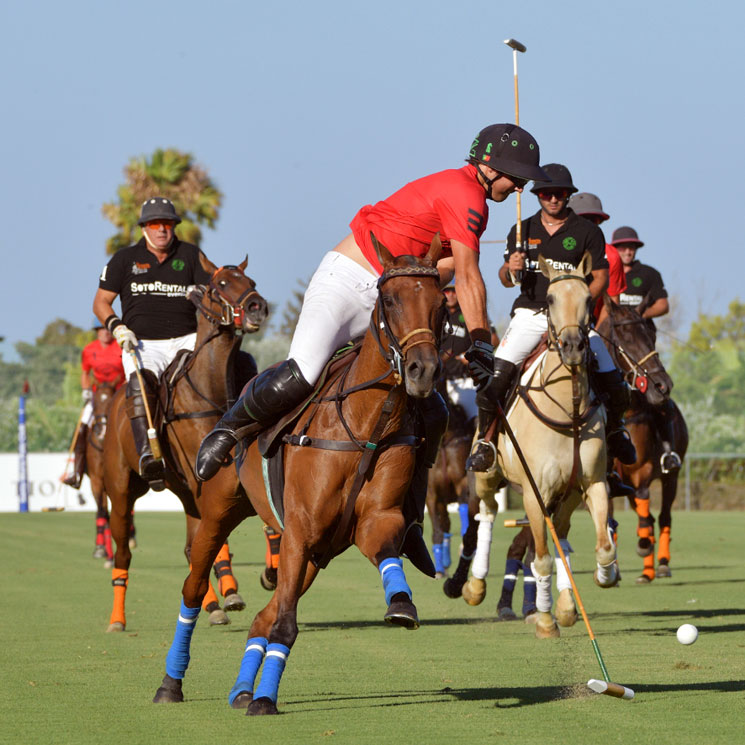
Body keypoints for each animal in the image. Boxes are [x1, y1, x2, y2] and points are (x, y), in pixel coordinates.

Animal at [102, 254, 268, 628]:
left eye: (251, 281)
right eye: (220, 285)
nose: (257, 307)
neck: (210, 390)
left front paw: (255, 582)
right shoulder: (203, 479)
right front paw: (231, 592)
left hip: (183, 491)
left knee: (193, 547)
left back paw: (214, 603)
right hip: (120, 490)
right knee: (123, 552)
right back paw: (117, 618)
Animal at [150, 235, 442, 712]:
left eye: (441, 303)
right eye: (391, 300)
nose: (423, 370)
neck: (366, 423)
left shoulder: (371, 520)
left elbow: (384, 550)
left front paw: (401, 605)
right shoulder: (301, 529)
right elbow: (285, 624)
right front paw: (265, 700)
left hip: (312, 555)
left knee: (262, 617)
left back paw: (241, 689)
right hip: (217, 514)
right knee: (194, 589)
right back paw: (172, 683)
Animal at [464, 253, 616, 636]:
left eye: (588, 298)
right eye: (549, 299)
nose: (574, 347)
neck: (568, 409)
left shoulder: (592, 483)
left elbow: (603, 547)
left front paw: (603, 575)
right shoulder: (535, 493)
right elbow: (542, 560)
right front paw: (546, 621)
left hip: (567, 495)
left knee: (559, 530)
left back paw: (566, 606)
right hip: (487, 475)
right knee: (487, 512)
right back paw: (475, 585)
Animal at [596, 294, 688, 580]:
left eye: (650, 334)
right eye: (625, 335)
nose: (663, 386)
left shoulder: (644, 475)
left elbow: (647, 515)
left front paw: (644, 546)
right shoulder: (609, 479)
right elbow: (611, 520)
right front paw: (611, 568)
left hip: (671, 477)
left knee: (664, 517)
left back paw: (661, 564)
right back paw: (647, 569)